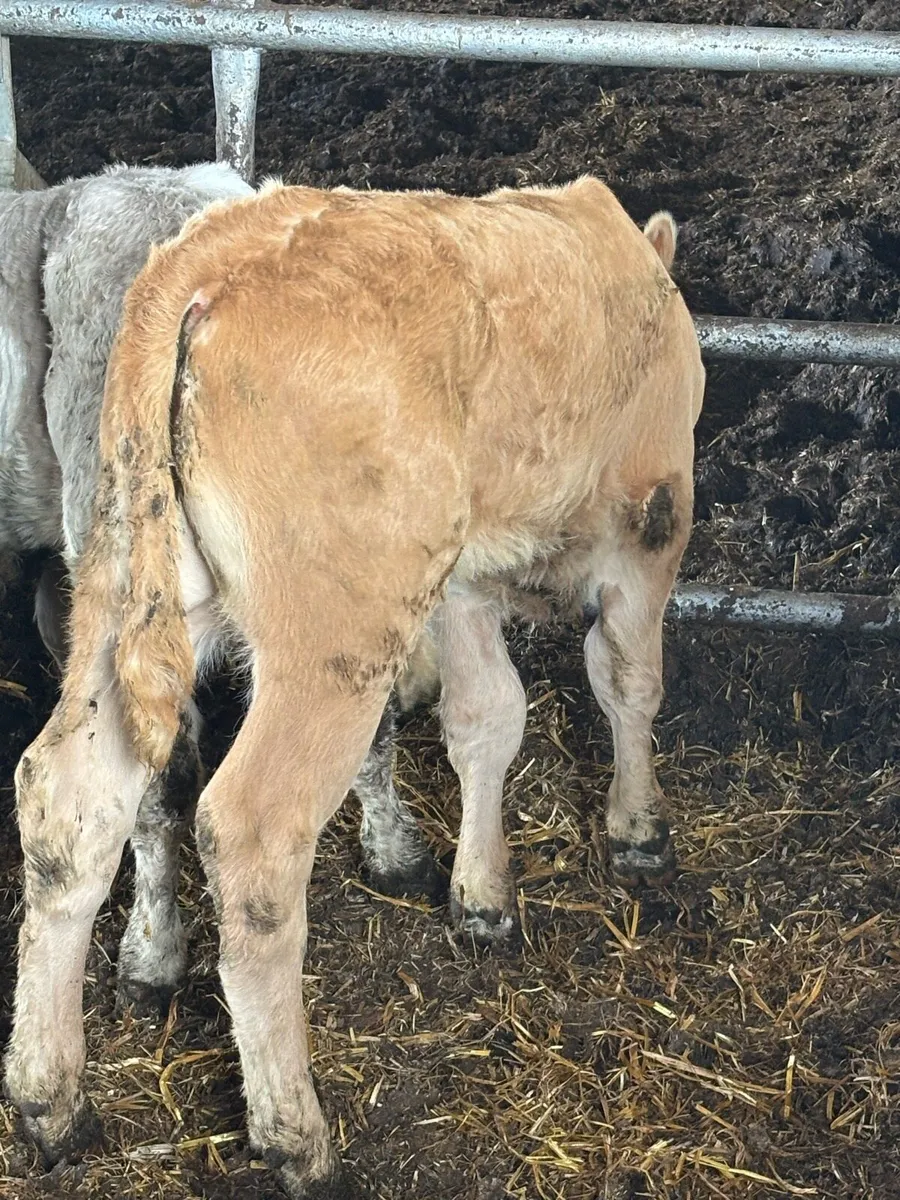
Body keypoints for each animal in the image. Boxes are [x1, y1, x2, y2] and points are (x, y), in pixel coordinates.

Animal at [4, 176, 704, 1198]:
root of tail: (208, 262)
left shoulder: (461, 579)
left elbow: (487, 719)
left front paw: (482, 896)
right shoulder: (655, 515)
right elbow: (628, 679)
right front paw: (639, 830)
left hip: (125, 587)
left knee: (70, 798)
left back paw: (50, 1102)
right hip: (332, 638)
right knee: (252, 835)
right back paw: (296, 1136)